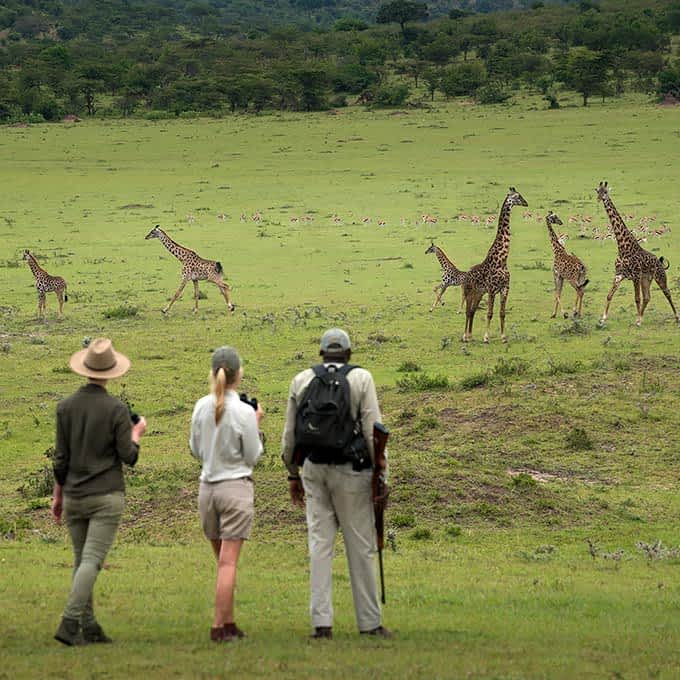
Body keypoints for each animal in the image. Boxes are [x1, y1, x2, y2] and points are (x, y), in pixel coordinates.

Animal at [460, 186, 528, 342]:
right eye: (518, 196)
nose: (526, 203)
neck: (502, 260)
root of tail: (466, 275)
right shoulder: (491, 289)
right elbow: (489, 313)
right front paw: (486, 337)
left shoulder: (505, 288)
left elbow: (502, 313)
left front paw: (503, 337)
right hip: (469, 292)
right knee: (467, 311)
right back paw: (465, 336)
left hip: (478, 293)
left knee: (472, 311)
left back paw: (470, 335)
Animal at [596, 182, 676, 326]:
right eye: (597, 191)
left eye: (605, 192)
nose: (600, 198)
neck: (623, 247)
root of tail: (660, 262)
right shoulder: (619, 274)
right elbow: (610, 295)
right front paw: (603, 318)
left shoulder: (635, 275)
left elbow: (637, 298)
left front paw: (637, 319)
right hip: (647, 278)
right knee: (647, 297)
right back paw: (641, 318)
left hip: (659, 276)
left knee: (667, 293)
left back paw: (676, 317)